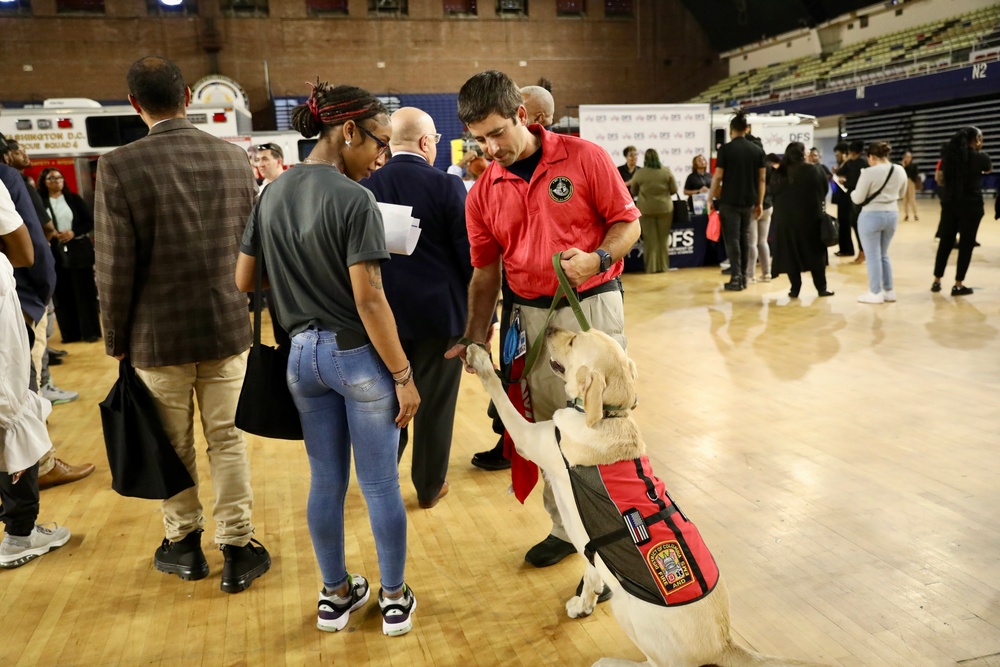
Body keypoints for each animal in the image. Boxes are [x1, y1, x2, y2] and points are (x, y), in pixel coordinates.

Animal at [464, 328, 824, 667]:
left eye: (573, 341)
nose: (550, 328)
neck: (607, 417)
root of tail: (724, 643)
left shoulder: (529, 439)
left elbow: (503, 399)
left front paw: (481, 360)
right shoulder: (589, 549)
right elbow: (590, 572)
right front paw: (584, 603)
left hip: (628, 611)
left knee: (655, 664)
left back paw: (609, 663)